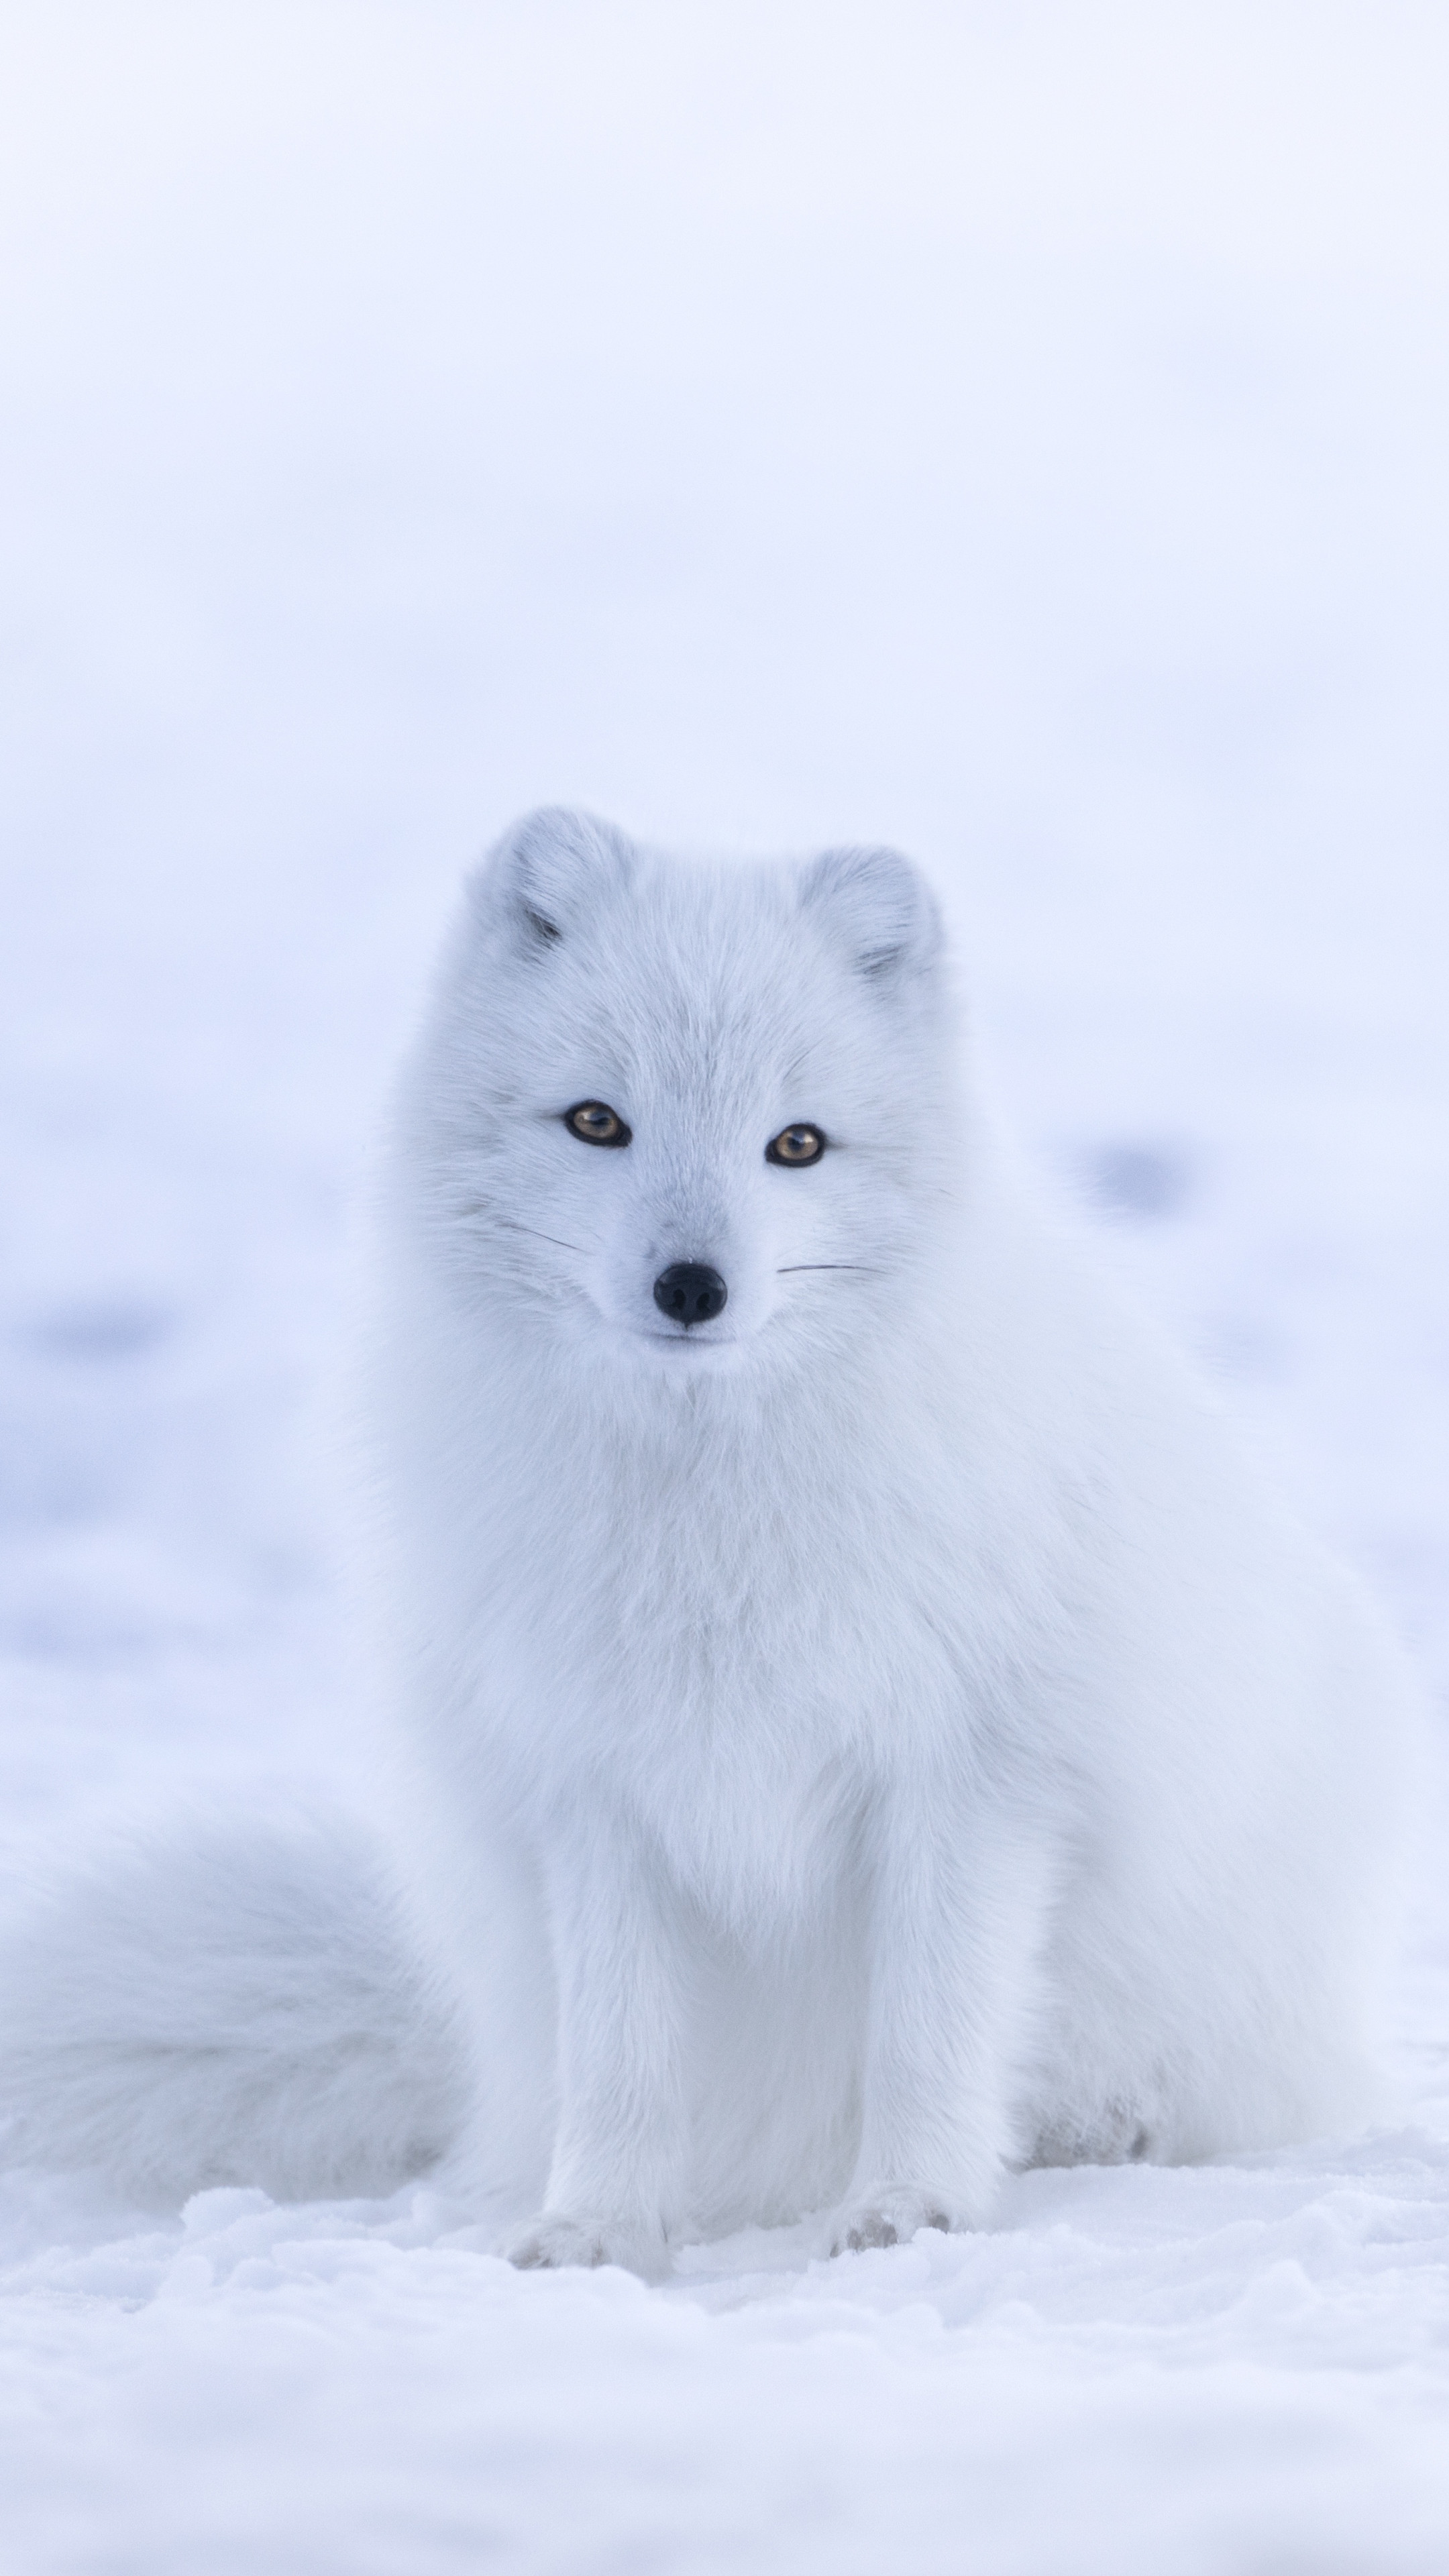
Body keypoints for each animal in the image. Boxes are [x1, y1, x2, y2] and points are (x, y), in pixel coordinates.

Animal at [0, 809, 1415, 2274]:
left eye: (797, 1144)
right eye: (596, 1121)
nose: (693, 1287)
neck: (712, 1511)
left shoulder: (974, 1777)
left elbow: (929, 2028)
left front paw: (913, 2207)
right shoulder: (594, 1788)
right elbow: (621, 2055)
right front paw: (599, 2229)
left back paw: (1106, 2125)